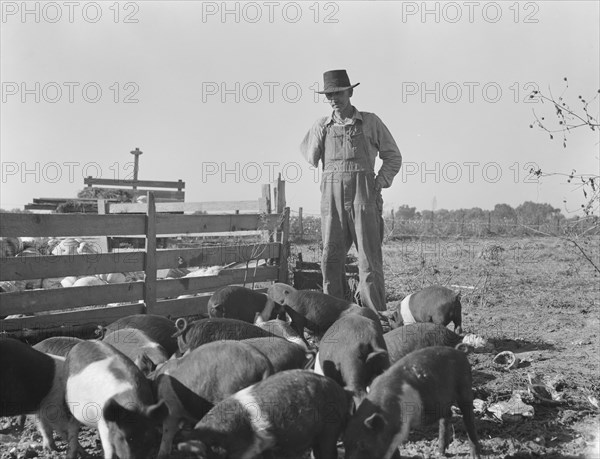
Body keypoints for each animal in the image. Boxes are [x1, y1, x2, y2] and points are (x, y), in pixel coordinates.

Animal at [344, 348, 480, 459]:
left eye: (362, 444)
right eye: (345, 443)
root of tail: (459, 352)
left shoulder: (402, 428)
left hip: (465, 386)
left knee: (469, 419)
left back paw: (474, 456)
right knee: (447, 416)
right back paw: (440, 452)